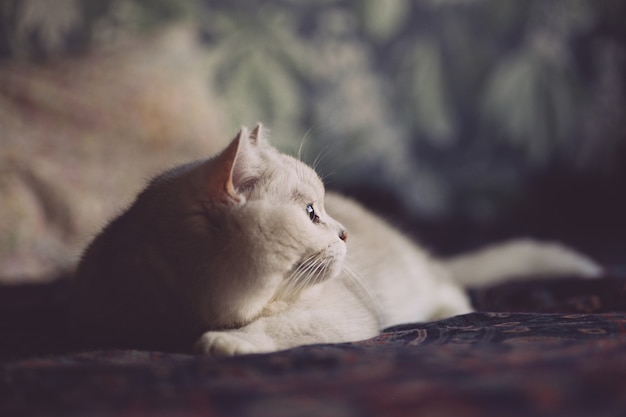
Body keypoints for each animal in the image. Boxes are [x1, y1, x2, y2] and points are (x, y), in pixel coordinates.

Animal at [69, 123, 600, 354]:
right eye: (311, 213)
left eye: (323, 209)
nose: (343, 231)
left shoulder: (339, 314)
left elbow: (278, 329)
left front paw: (227, 341)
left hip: (420, 280)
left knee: (452, 292)